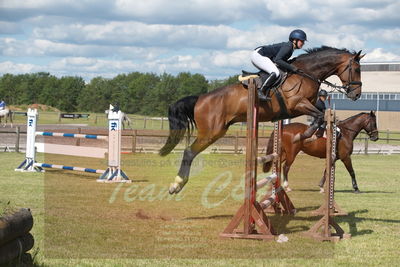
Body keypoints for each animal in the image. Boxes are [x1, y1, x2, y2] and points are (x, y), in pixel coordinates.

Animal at [160, 46, 366, 195]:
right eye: (356, 69)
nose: (356, 94)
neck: (306, 73)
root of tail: (201, 98)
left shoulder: (308, 104)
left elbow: (322, 115)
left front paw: (317, 132)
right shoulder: (298, 104)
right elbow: (318, 116)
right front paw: (307, 134)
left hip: (218, 130)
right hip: (211, 132)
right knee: (189, 152)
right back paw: (176, 185)